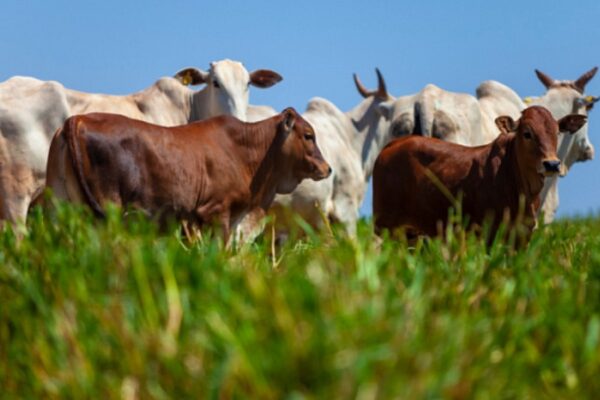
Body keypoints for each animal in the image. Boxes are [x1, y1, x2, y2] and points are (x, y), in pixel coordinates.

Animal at [44, 108, 330, 242]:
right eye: (308, 135)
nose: (328, 168)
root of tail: (77, 119)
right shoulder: (216, 213)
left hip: (60, 205)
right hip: (109, 209)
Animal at [372, 106, 588, 242]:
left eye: (556, 132)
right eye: (527, 133)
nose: (551, 163)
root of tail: (393, 145)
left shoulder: (522, 235)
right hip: (385, 227)